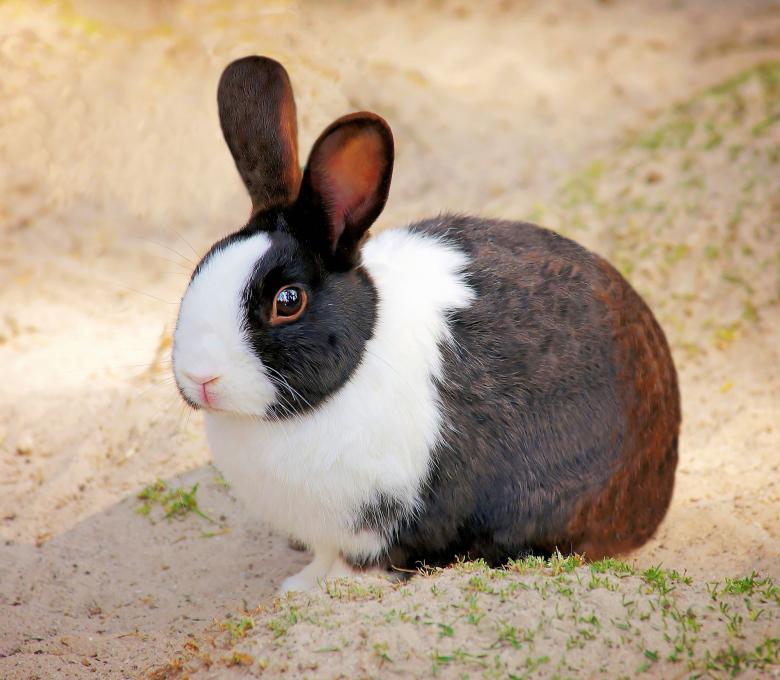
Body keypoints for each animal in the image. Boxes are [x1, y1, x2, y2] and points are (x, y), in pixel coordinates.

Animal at [172, 56, 680, 594]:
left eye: (288, 301)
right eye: (199, 268)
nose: (201, 377)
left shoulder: (384, 521)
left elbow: (364, 561)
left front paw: (334, 592)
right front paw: (301, 587)